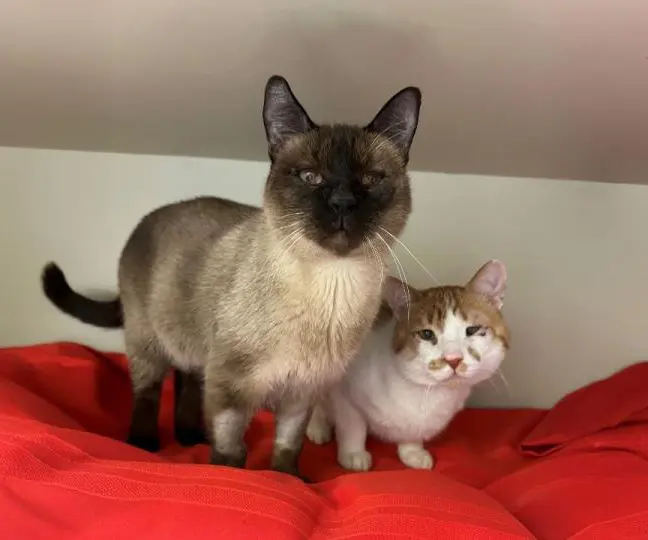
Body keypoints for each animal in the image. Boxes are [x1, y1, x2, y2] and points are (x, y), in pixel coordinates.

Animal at [306, 260, 508, 468]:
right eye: (426, 334)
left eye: (472, 330)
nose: (453, 359)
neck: (426, 392)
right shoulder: (344, 393)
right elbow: (353, 426)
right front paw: (353, 453)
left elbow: (411, 433)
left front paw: (412, 451)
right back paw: (318, 427)